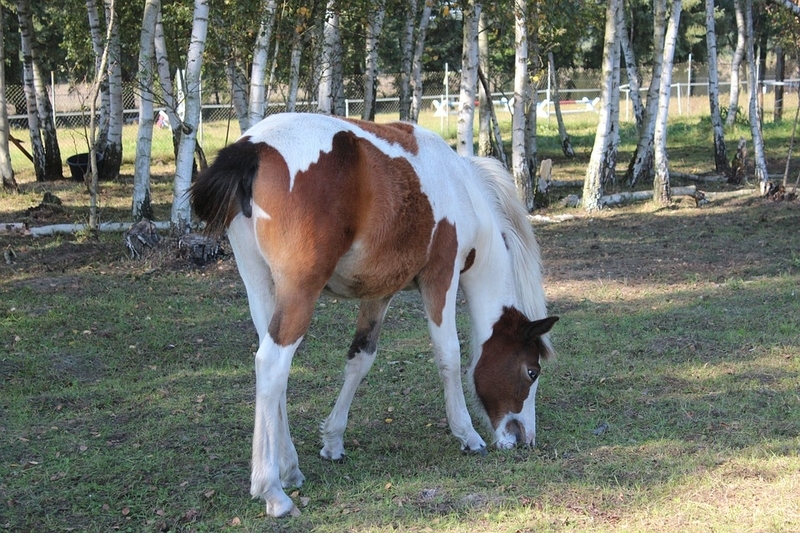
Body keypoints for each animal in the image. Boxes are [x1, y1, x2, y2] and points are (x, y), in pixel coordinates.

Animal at [190, 112, 558, 517]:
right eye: (532, 371)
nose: (522, 438)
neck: (462, 189)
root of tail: (254, 146)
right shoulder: (440, 277)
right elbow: (448, 355)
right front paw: (467, 434)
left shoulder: (380, 293)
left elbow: (360, 359)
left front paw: (333, 441)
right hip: (300, 292)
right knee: (272, 364)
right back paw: (272, 490)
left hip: (261, 288)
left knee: (273, 374)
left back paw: (289, 468)